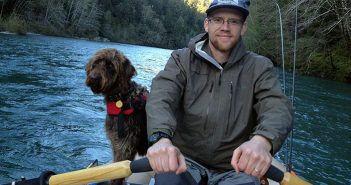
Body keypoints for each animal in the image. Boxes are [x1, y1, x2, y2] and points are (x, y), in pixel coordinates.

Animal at [87, 48, 150, 185]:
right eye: (96, 63)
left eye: (110, 65)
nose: (93, 77)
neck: (122, 98)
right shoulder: (116, 145)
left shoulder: (124, 147)